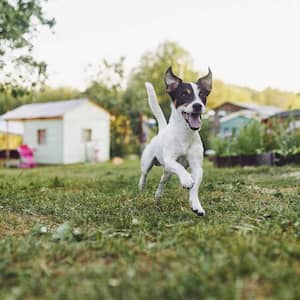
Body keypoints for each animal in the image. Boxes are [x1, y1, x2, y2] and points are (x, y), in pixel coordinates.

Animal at [138, 66, 211, 216]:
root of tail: (161, 131)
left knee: (162, 180)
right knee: (144, 173)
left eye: (202, 95)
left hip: (168, 172)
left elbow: (195, 186)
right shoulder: (169, 160)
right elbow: (180, 168)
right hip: (148, 162)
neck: (185, 135)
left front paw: (196, 205)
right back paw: (141, 185)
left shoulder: (197, 167)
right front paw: (187, 179)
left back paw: (158, 195)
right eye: (184, 95)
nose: (198, 105)